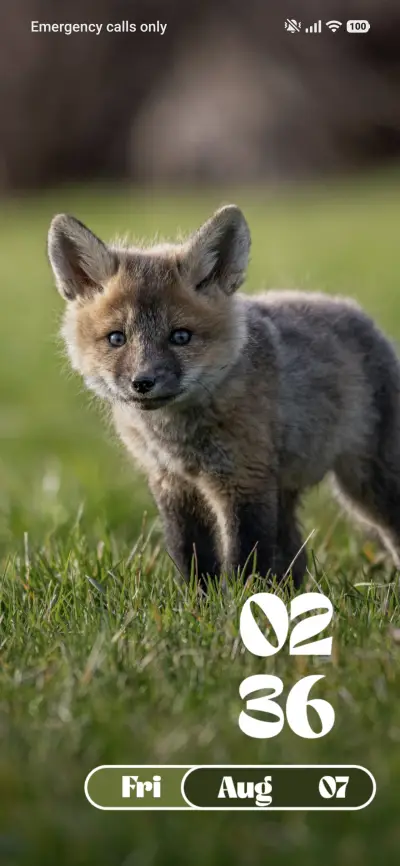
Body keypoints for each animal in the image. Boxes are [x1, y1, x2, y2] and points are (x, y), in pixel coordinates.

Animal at [47, 205, 400, 588]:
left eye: (180, 337)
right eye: (116, 338)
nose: (143, 382)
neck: (179, 439)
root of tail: (356, 311)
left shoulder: (244, 481)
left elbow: (245, 558)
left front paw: (244, 600)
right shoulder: (173, 484)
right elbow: (191, 555)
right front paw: (199, 600)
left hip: (368, 485)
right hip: (288, 490)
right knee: (296, 556)